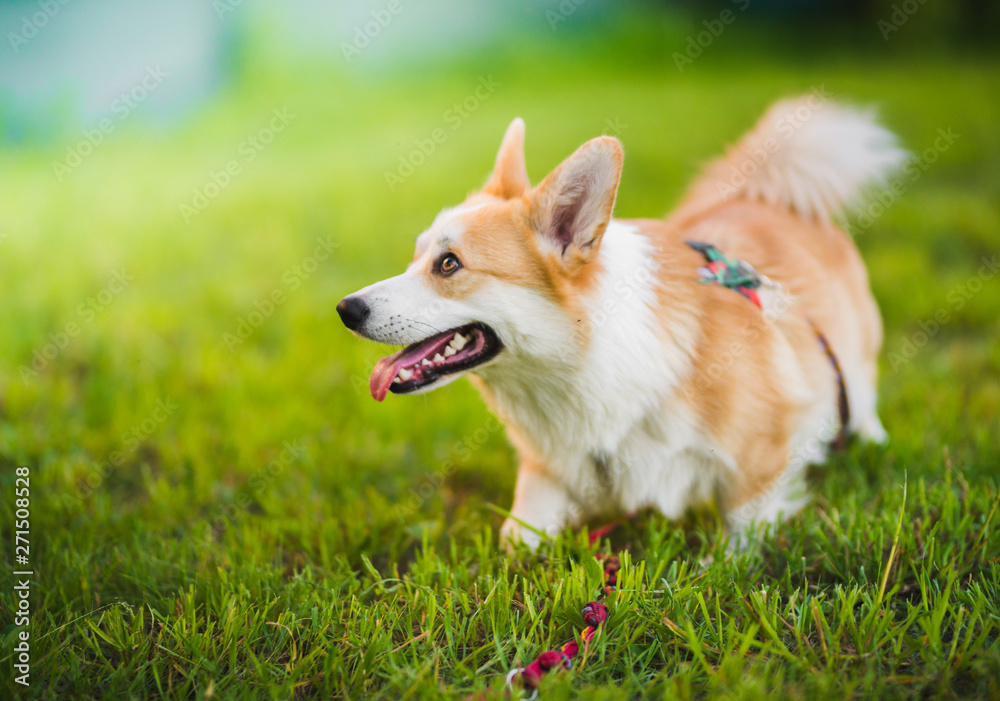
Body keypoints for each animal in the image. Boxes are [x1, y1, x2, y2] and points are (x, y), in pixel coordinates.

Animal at [338, 95, 908, 548]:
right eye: (416, 257)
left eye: (449, 264)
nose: (346, 310)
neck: (578, 365)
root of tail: (767, 196)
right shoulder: (549, 473)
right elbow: (516, 539)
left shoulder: (761, 455)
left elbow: (740, 536)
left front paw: (723, 566)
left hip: (854, 358)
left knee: (861, 395)